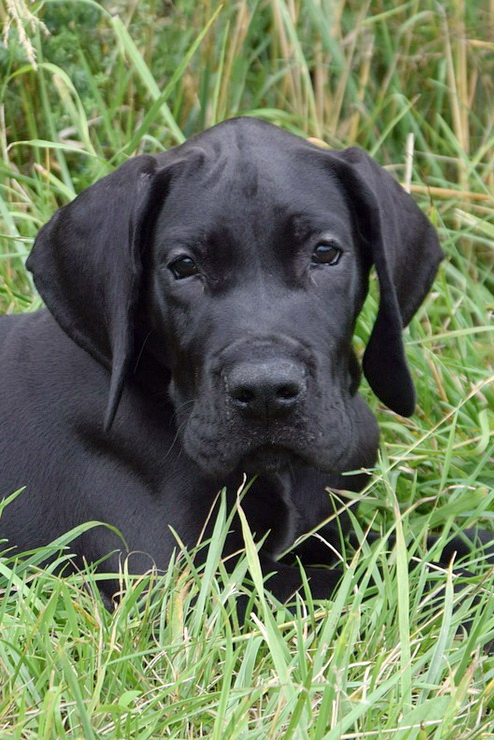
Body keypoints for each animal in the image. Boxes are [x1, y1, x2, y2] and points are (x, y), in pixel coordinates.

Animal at [0, 114, 474, 600]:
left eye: (325, 253)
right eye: (184, 266)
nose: (266, 392)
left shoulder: (331, 531)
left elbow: (427, 549)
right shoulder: (177, 580)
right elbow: (391, 581)